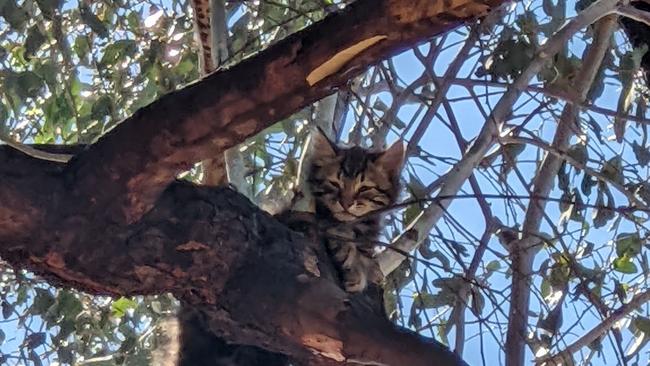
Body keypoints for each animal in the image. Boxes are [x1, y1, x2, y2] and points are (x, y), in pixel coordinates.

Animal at [306, 129, 402, 292]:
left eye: (364, 188)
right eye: (335, 184)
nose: (346, 204)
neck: (357, 225)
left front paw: (371, 268)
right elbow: (339, 237)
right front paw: (354, 270)